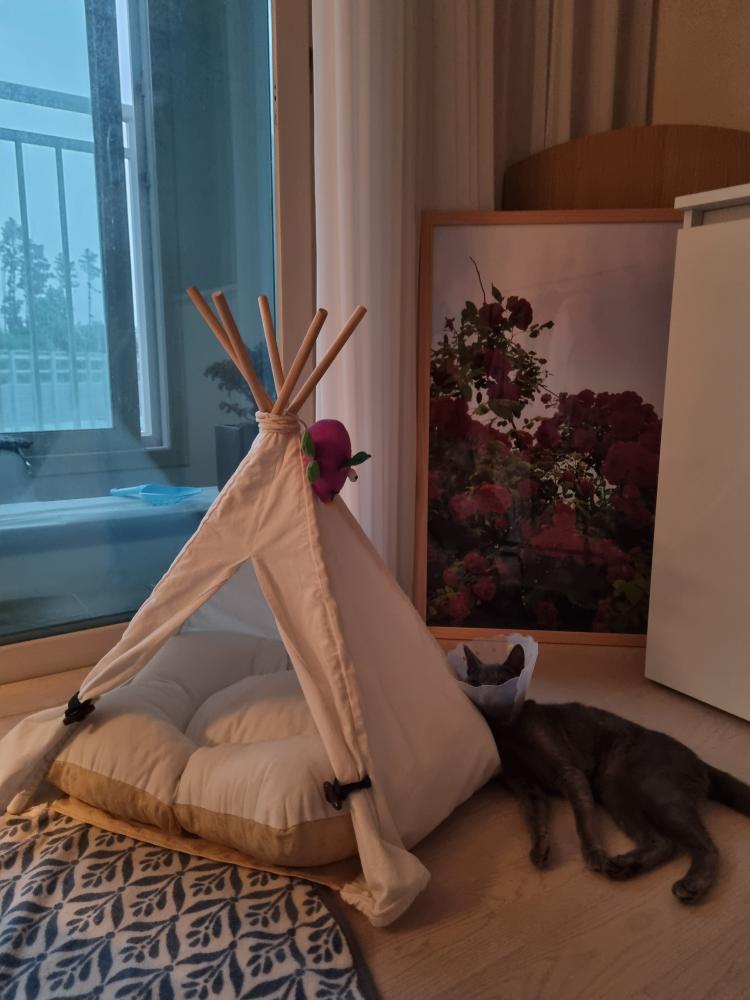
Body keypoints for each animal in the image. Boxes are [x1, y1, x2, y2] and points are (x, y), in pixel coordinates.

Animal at [464, 643, 750, 903]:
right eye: (475, 683)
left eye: (501, 682)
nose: (487, 698)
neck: (507, 731)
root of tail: (699, 761)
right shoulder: (527, 789)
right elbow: (535, 822)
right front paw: (540, 849)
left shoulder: (569, 772)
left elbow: (583, 820)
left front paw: (593, 854)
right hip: (615, 790)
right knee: (664, 843)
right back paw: (624, 866)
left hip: (650, 788)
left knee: (707, 846)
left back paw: (692, 885)